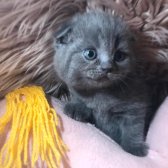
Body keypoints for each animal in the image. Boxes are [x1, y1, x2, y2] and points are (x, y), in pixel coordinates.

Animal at [53, 11, 154, 156]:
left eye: (119, 56)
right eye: (90, 53)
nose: (107, 67)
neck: (100, 93)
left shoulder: (136, 105)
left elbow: (133, 127)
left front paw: (134, 148)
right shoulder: (76, 92)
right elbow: (79, 100)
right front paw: (76, 109)